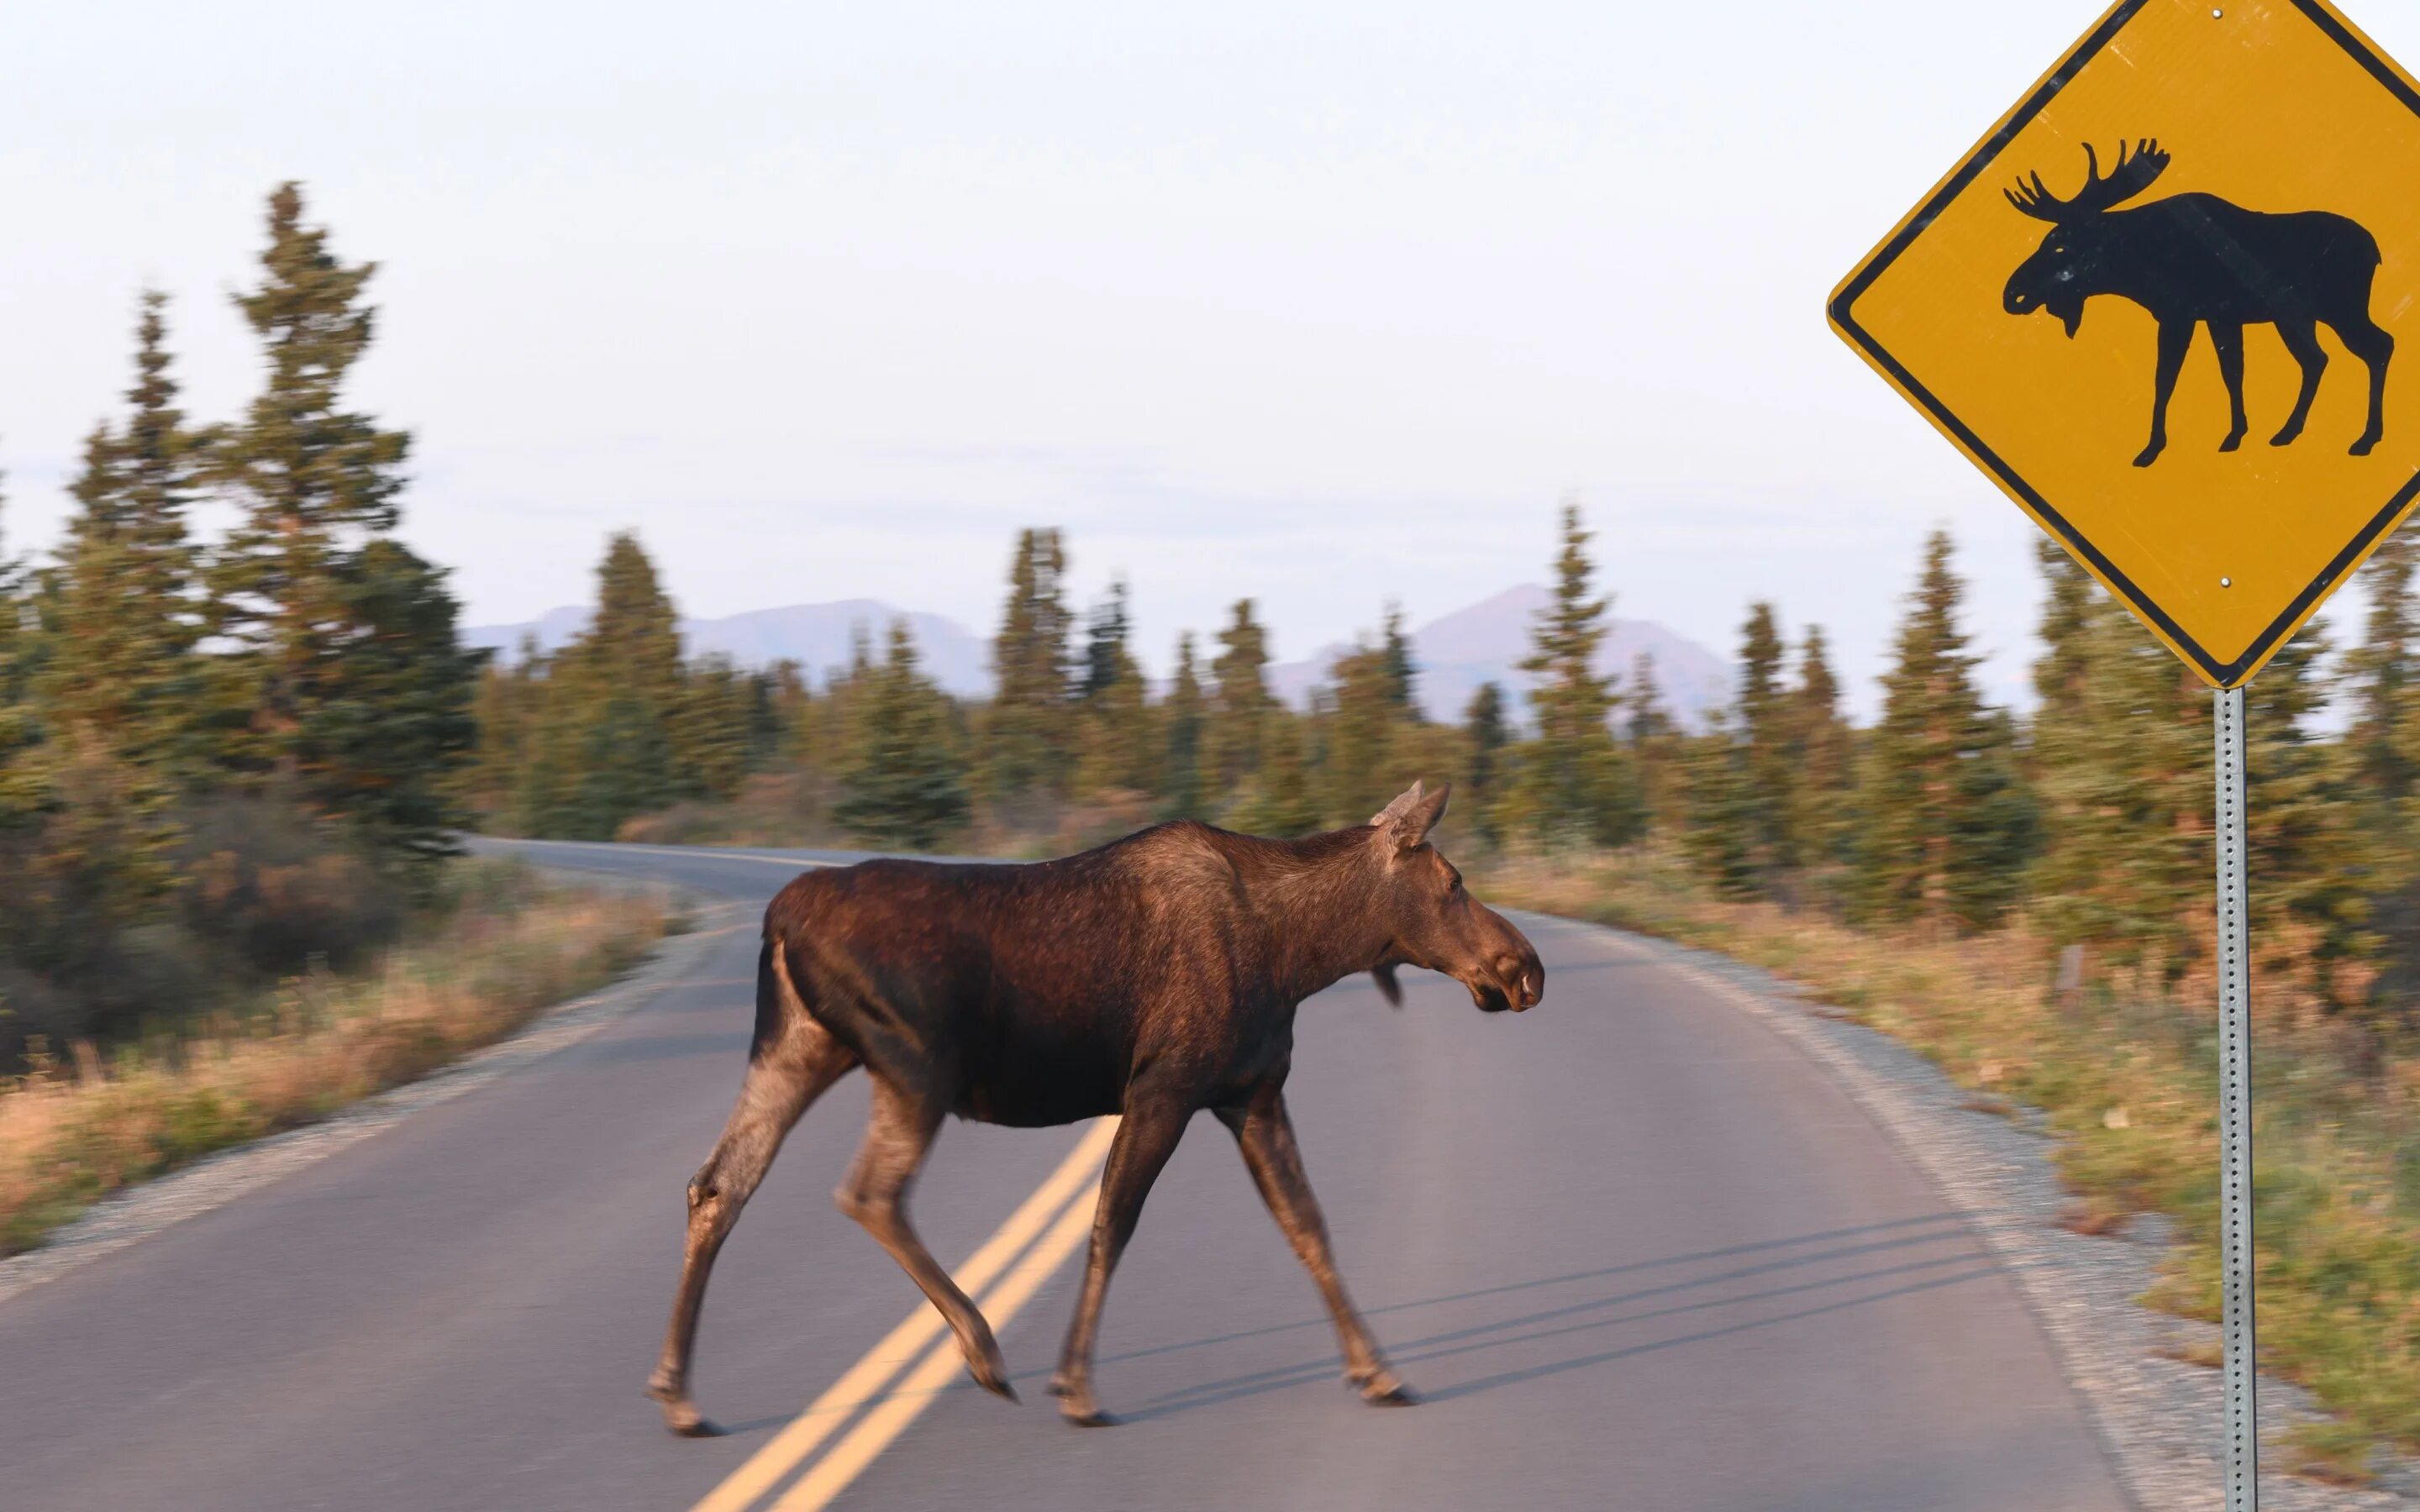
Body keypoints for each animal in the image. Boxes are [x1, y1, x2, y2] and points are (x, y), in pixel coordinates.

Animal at [653, 779, 1539, 1422]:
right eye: (1453, 882)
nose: (1522, 967)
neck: (1302, 953)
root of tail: (779, 917)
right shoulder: (1165, 1087)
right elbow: (1112, 1224)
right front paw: (1076, 1385)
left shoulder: (1250, 1093)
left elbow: (1307, 1226)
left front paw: (1378, 1370)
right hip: (914, 1066)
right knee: (870, 1191)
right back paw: (983, 1350)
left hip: (800, 1047)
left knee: (718, 1184)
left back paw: (679, 1391)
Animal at [2003, 139, 2381, 466]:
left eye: (2058, 244)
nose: (2012, 293)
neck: (2138, 265)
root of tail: (2375, 251)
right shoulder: (2220, 317)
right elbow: (2232, 371)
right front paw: (2235, 434)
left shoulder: (2178, 314)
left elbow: (2166, 377)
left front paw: (2152, 447)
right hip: (2298, 317)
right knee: (2321, 359)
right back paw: (2291, 431)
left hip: (2337, 308)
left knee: (2374, 347)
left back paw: (2365, 438)